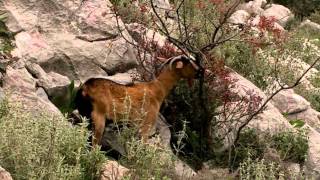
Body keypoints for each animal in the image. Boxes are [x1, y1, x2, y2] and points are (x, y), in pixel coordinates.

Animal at [74, 54, 204, 146]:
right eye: (190, 63)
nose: (200, 72)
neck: (157, 89)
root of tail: (85, 88)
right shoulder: (146, 124)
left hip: (85, 116)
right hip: (99, 117)